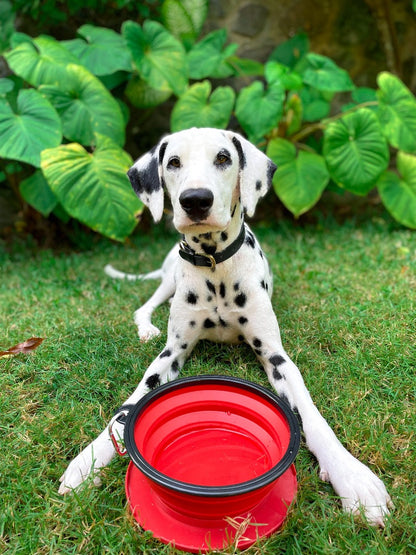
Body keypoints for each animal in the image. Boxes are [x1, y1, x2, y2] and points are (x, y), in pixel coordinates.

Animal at [59, 128, 394, 528]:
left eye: (223, 158)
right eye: (173, 162)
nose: (195, 201)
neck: (215, 264)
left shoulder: (277, 358)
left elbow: (313, 416)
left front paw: (352, 475)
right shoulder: (170, 355)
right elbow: (124, 410)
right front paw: (89, 460)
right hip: (169, 279)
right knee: (144, 307)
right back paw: (145, 329)